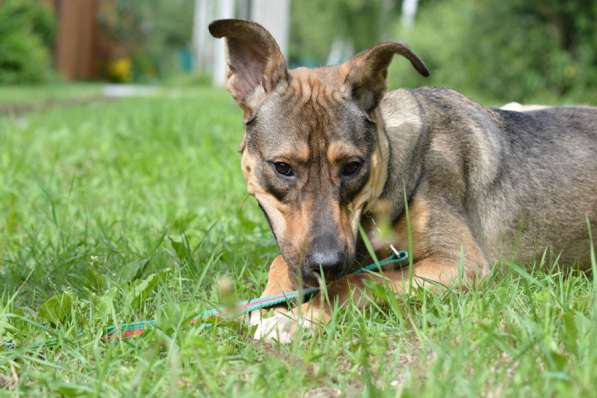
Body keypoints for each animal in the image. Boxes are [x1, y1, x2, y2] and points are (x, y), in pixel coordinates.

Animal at [208, 19, 596, 342]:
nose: (326, 264)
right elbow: (281, 263)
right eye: (282, 167)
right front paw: (268, 301)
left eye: (352, 166)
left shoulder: (459, 264)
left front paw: (297, 317)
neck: (392, 169)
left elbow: (359, 281)